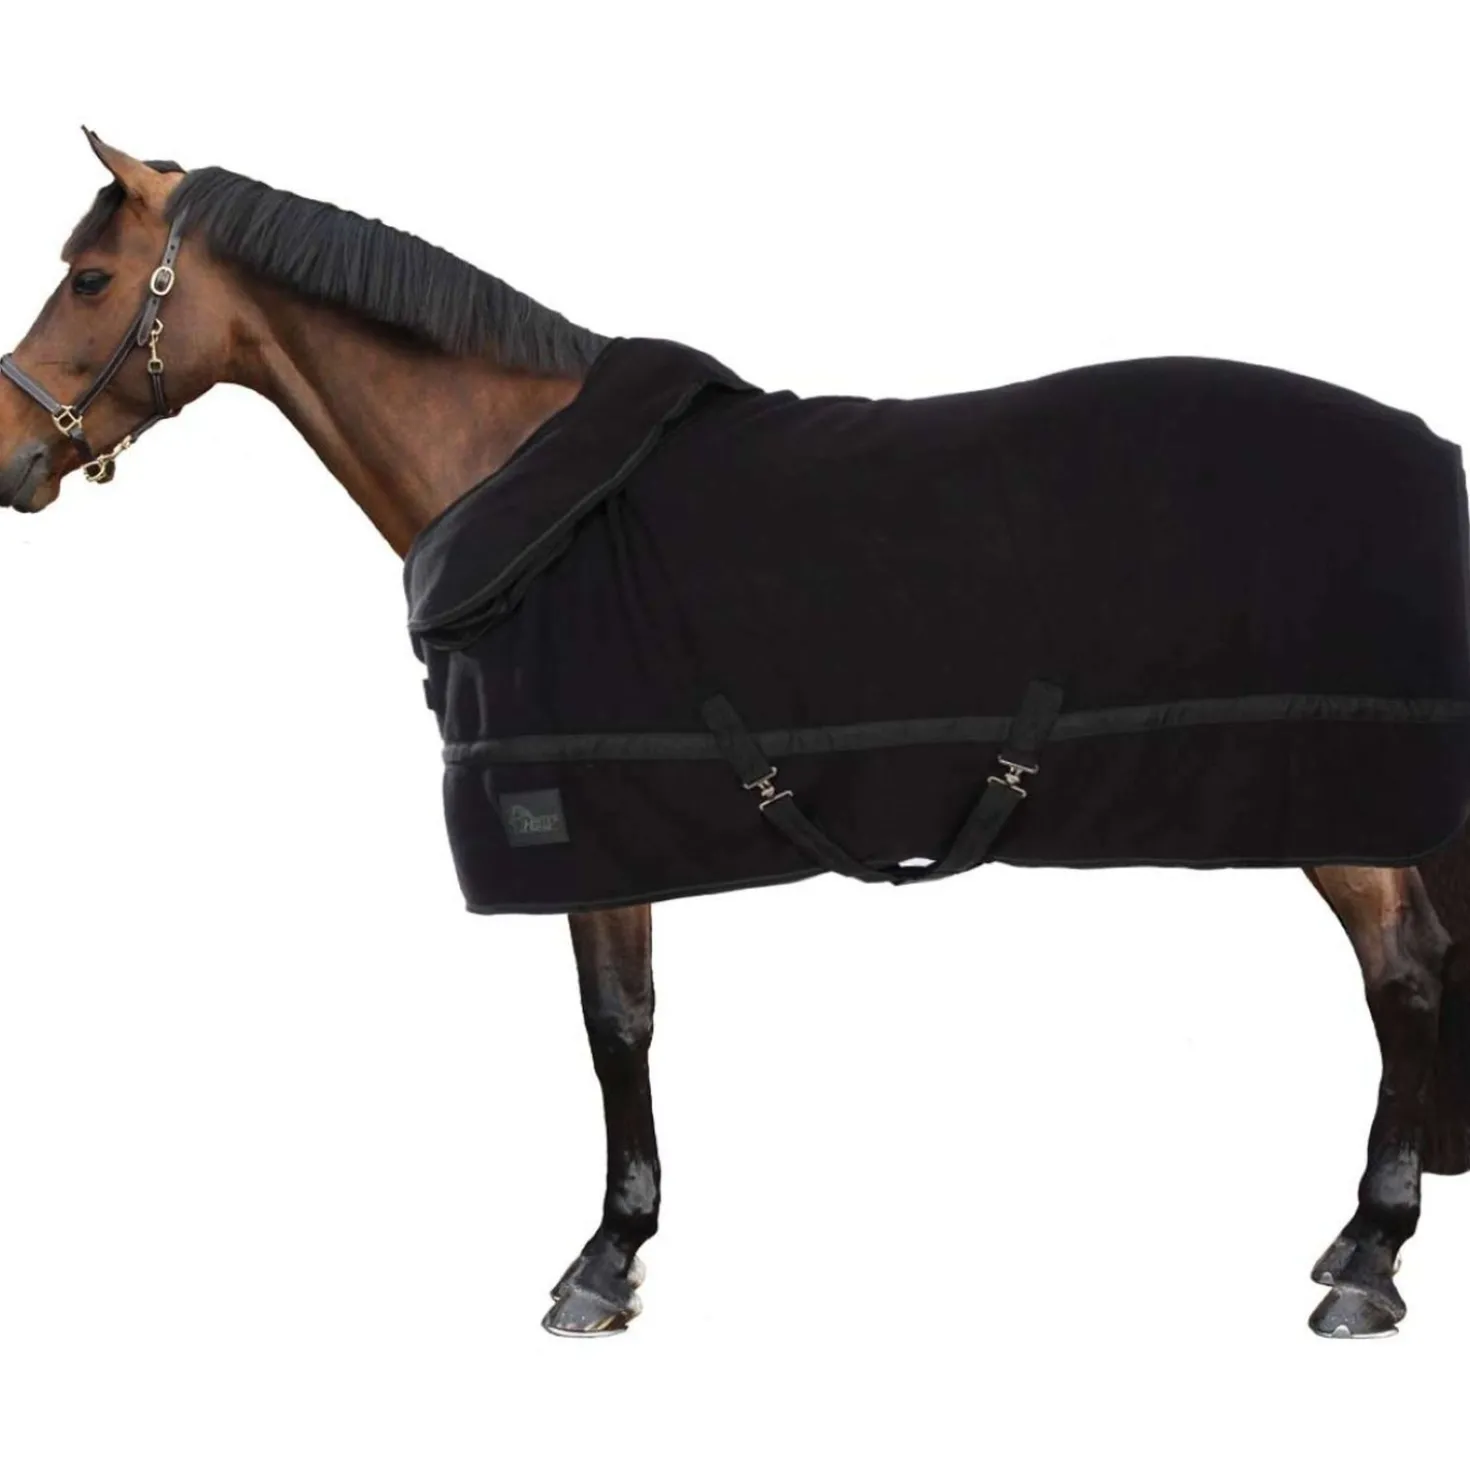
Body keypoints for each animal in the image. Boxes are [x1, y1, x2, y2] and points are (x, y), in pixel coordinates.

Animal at [2, 131, 1468, 1341]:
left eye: (88, 277)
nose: (13, 451)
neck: (518, 469)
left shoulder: (580, 821)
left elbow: (615, 1026)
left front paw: (604, 1259)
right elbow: (629, 1021)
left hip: (1342, 801)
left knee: (1402, 972)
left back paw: (1368, 1258)